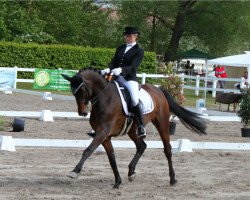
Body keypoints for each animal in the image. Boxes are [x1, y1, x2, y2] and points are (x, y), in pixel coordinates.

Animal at [61, 67, 208, 189]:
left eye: (83, 90)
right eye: (73, 92)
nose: (83, 112)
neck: (105, 98)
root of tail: (158, 89)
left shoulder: (103, 132)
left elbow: (88, 150)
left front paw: (74, 171)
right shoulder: (105, 136)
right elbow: (111, 158)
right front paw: (117, 182)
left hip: (162, 123)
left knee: (167, 149)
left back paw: (172, 179)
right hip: (133, 130)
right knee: (142, 146)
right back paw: (131, 172)